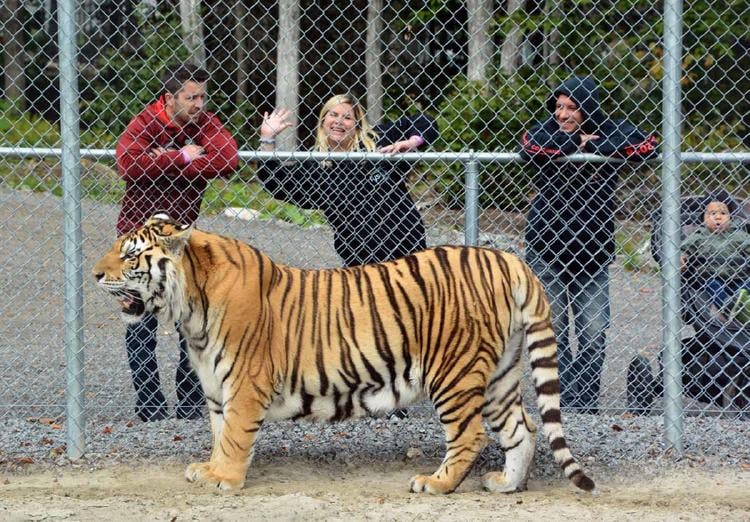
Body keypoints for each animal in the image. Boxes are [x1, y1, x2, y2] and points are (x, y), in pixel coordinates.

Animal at [93, 213, 595, 495]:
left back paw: (436, 484)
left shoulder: (245, 383)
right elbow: (219, 432)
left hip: (455, 372)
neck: (190, 309)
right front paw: (211, 468)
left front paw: (226, 479)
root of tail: (509, 259)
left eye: (130, 255)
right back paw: (507, 485)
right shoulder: (217, 389)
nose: (95, 274)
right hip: (499, 375)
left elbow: (234, 435)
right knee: (523, 428)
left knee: (472, 436)